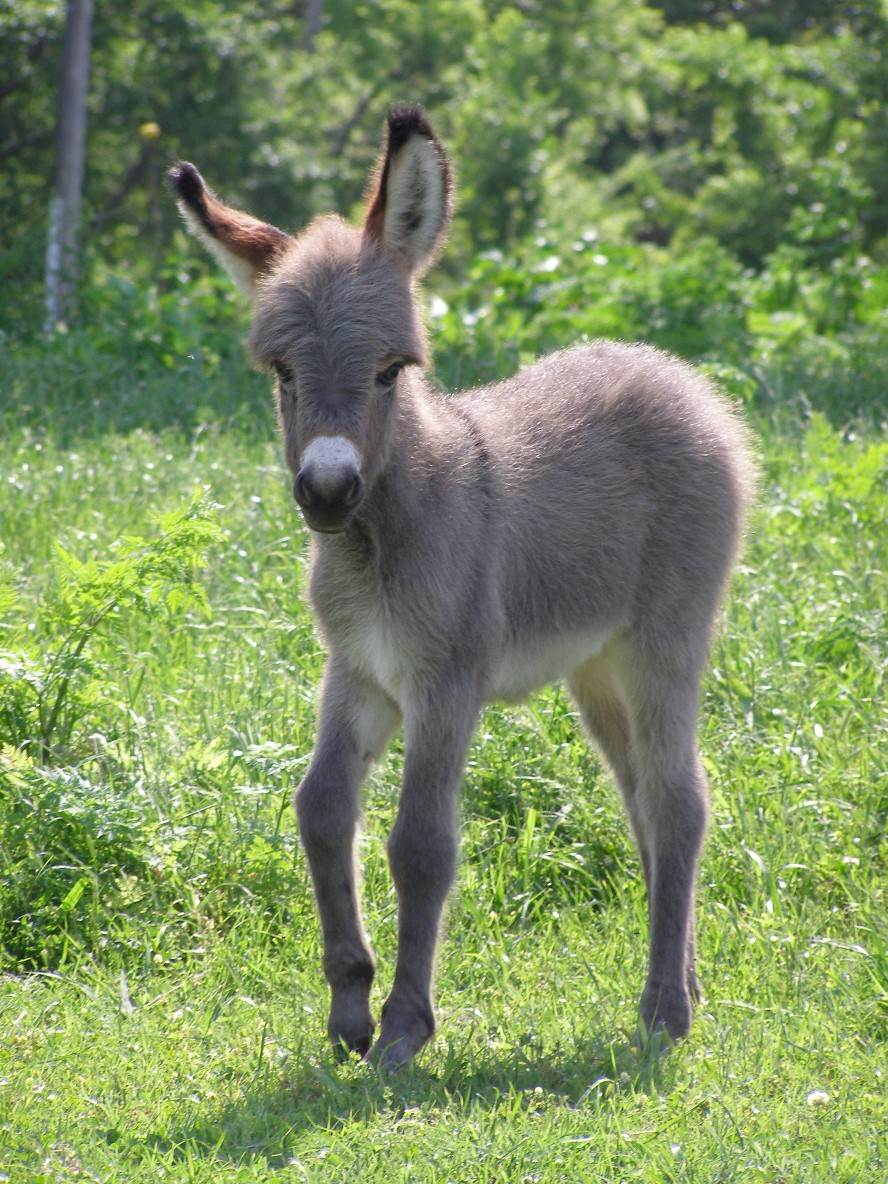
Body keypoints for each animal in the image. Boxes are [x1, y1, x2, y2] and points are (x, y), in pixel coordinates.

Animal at [171, 106, 757, 1070]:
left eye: (390, 370)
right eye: (283, 373)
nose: (327, 490)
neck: (380, 538)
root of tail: (676, 376)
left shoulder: (444, 682)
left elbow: (421, 844)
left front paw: (404, 1029)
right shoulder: (358, 672)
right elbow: (321, 808)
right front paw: (348, 1011)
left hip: (664, 639)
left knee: (680, 802)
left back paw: (666, 1012)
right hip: (594, 666)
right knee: (641, 797)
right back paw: (687, 980)